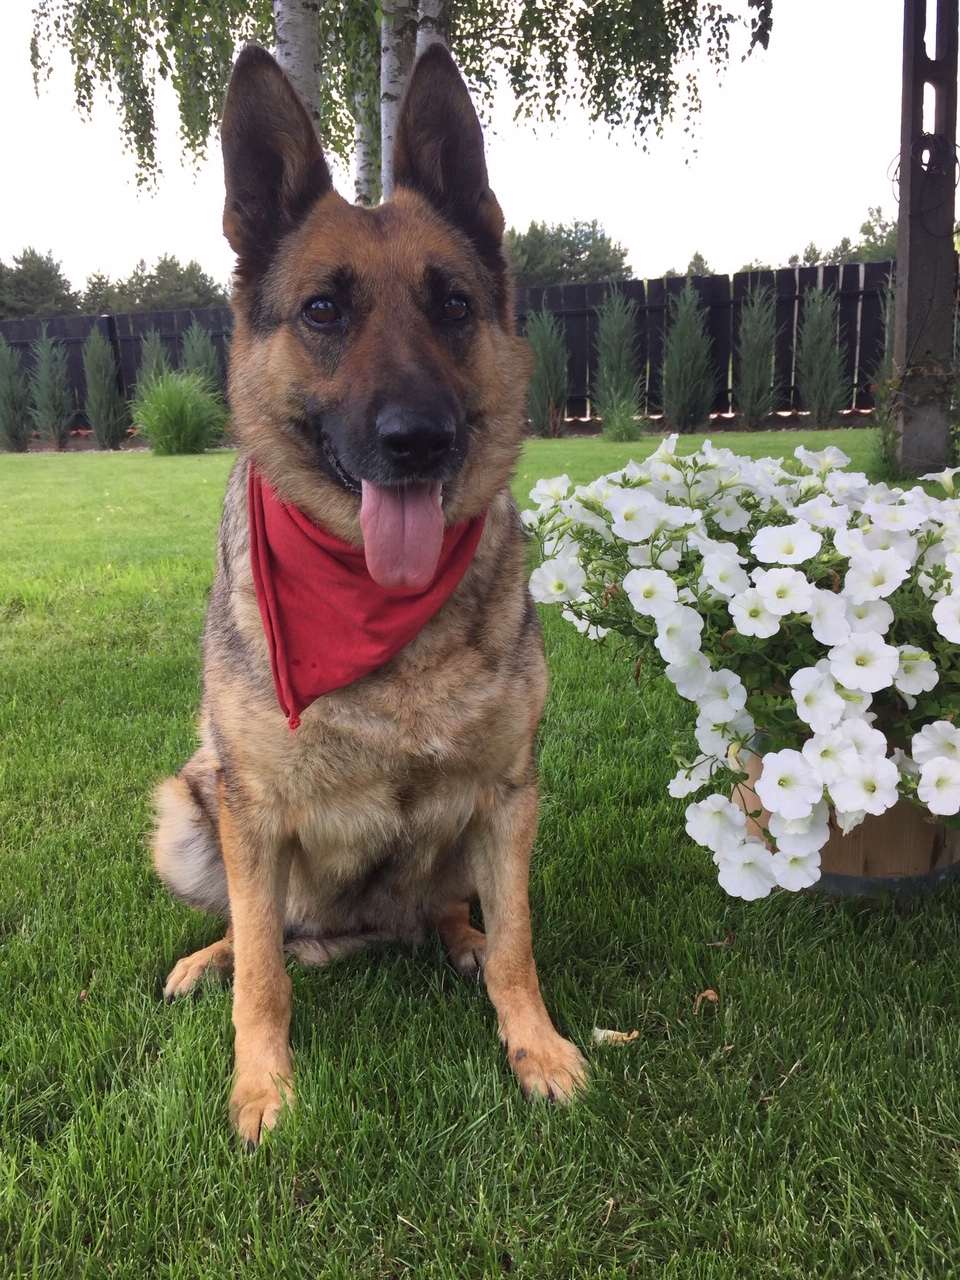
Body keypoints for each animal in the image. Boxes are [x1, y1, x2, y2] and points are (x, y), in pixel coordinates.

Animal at [152, 41, 587, 1146]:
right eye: (324, 310)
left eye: (453, 305)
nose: (417, 440)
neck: (373, 608)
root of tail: (353, 932)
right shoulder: (251, 810)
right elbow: (263, 976)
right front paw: (262, 1086)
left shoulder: (510, 795)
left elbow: (518, 941)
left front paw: (537, 1045)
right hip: (188, 804)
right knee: (258, 931)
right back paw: (207, 959)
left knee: (444, 910)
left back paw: (455, 937)